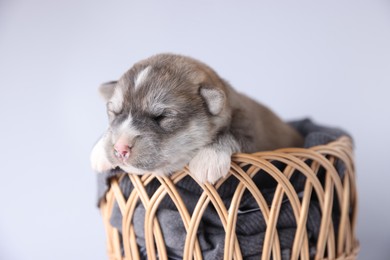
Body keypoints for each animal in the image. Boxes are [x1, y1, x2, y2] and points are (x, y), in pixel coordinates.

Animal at [90, 53, 304, 183]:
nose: (120, 149)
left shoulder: (253, 135)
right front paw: (100, 151)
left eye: (160, 117)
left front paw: (208, 158)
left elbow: (233, 133)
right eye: (115, 112)